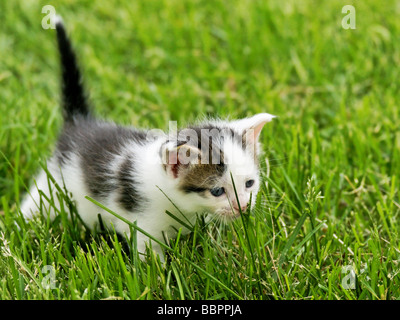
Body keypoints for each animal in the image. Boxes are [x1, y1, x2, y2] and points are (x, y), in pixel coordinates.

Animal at [20, 17, 274, 260]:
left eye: (249, 183)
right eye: (217, 191)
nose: (242, 207)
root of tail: (78, 122)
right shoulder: (142, 224)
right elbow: (150, 255)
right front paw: (160, 272)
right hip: (53, 183)